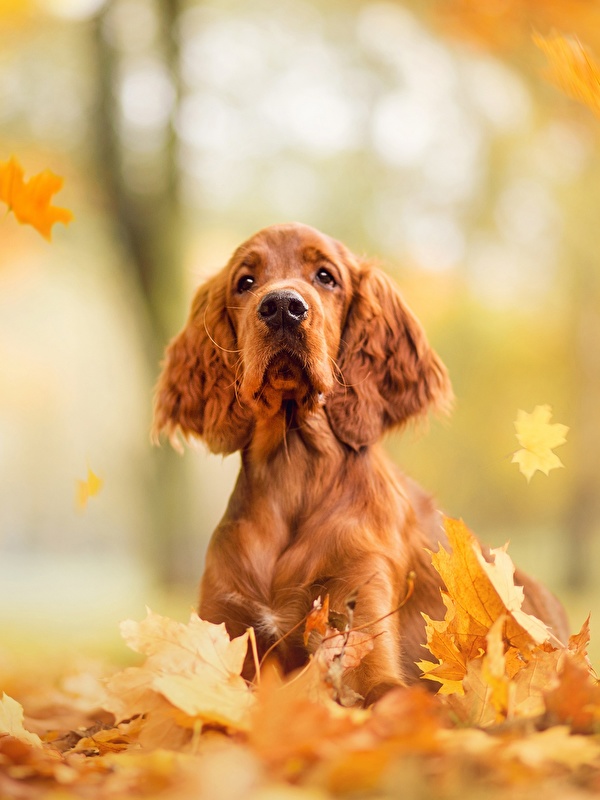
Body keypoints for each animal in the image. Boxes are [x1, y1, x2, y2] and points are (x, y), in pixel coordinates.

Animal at [152, 222, 568, 704]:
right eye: (245, 281)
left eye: (326, 276)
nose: (282, 308)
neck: (293, 469)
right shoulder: (224, 626)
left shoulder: (360, 619)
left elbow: (385, 693)